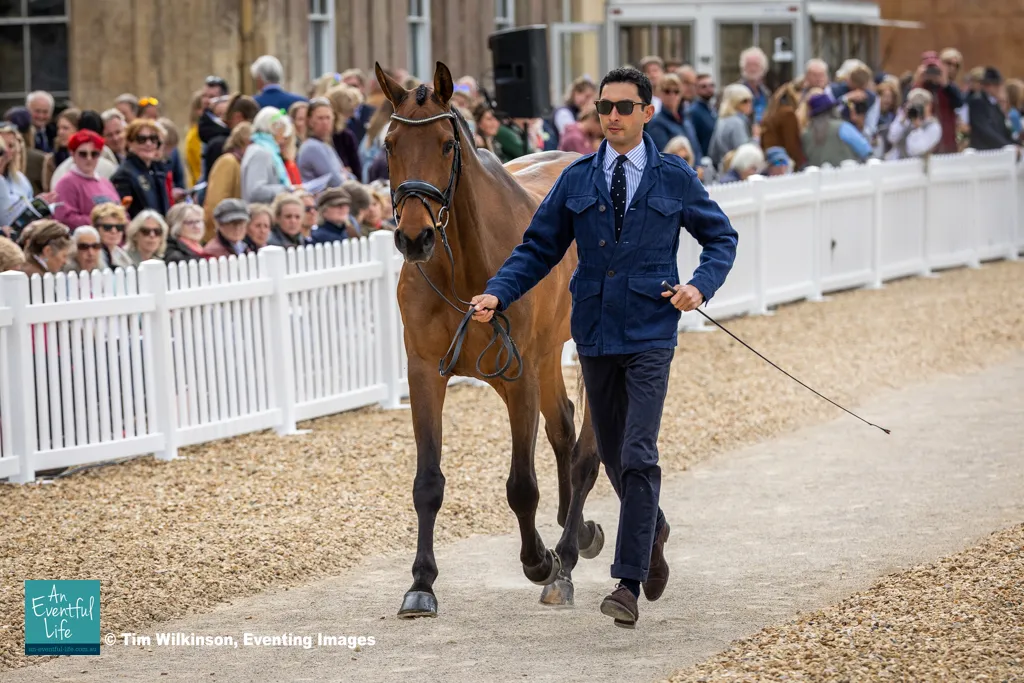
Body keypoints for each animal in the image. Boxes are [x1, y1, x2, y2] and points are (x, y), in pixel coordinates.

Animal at [375, 61, 605, 618]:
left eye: (445, 144)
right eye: (390, 143)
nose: (414, 237)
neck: (464, 268)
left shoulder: (516, 375)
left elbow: (522, 486)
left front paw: (540, 560)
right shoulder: (424, 372)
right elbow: (427, 483)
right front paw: (421, 582)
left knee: (583, 449)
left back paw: (569, 546)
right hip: (546, 356)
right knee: (563, 426)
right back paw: (575, 529)